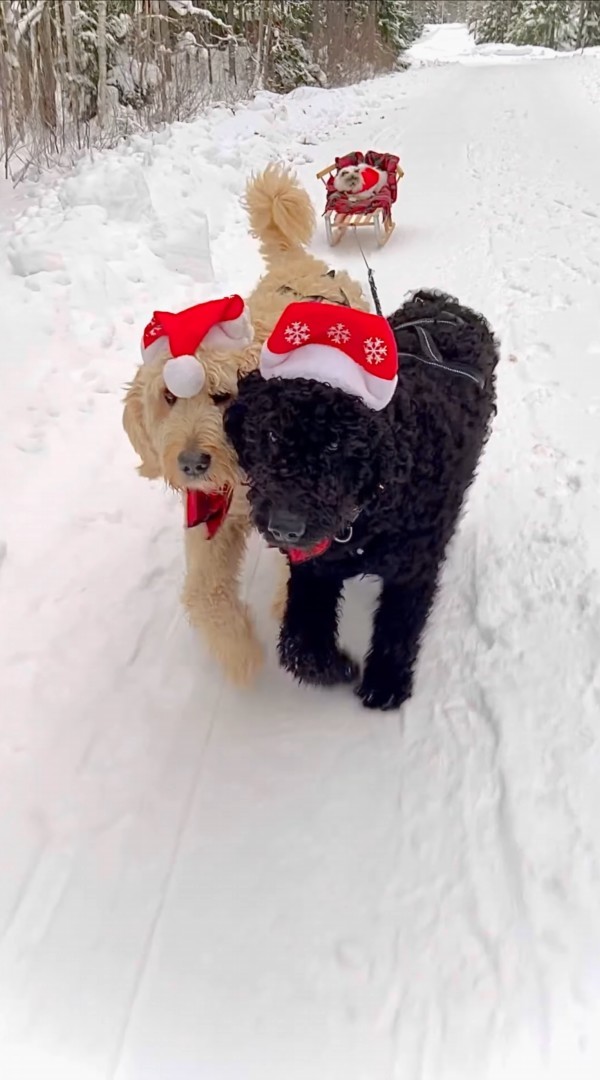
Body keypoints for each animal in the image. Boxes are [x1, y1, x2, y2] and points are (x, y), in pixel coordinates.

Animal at [121, 162, 364, 682]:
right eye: (169, 396)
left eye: (221, 394)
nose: (192, 464)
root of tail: (302, 267)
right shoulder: (211, 516)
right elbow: (203, 593)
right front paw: (240, 654)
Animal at [223, 289, 496, 708]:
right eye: (269, 433)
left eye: (336, 443)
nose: (285, 527)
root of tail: (444, 304)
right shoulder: (314, 566)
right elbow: (299, 645)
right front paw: (337, 667)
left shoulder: (413, 569)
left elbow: (398, 626)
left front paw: (385, 682)